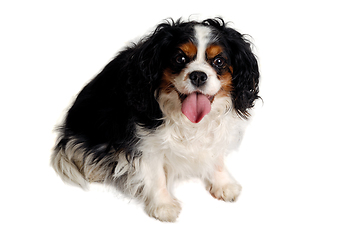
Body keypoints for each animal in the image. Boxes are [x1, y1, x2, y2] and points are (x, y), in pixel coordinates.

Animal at [50, 17, 258, 222]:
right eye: (180, 58)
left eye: (219, 61)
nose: (198, 75)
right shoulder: (146, 142)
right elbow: (156, 175)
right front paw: (163, 206)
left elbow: (217, 158)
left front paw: (223, 185)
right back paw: (93, 170)